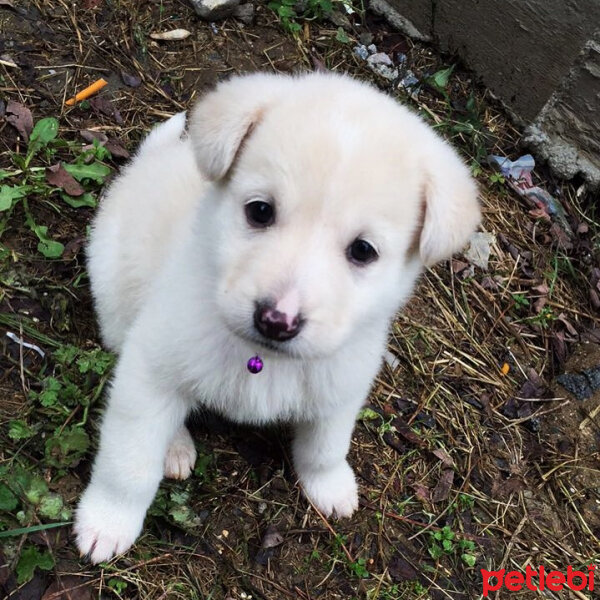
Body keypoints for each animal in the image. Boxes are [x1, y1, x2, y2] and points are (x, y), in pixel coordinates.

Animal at [75, 71, 480, 564]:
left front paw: (331, 486)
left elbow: (326, 447)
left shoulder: (341, 386)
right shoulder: (149, 368)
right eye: (260, 210)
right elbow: (128, 464)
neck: (263, 360)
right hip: (116, 302)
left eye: (363, 250)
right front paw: (107, 521)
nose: (276, 320)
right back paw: (174, 446)